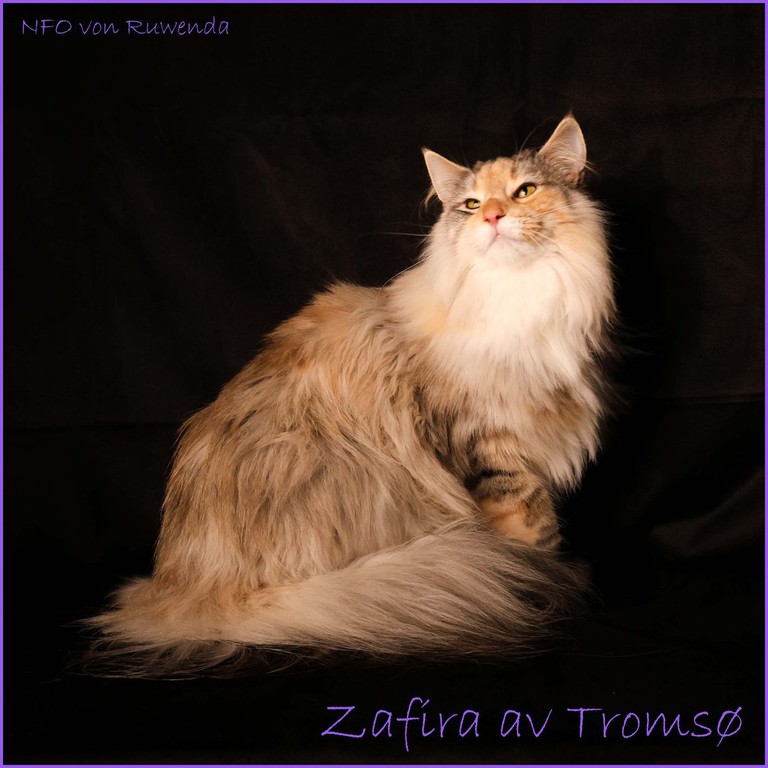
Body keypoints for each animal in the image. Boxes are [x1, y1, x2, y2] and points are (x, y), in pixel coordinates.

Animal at [89, 115, 615, 675]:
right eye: (472, 205)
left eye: (525, 191)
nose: (494, 217)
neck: (519, 299)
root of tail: (187, 589)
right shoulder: (492, 454)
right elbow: (532, 531)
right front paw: (545, 579)